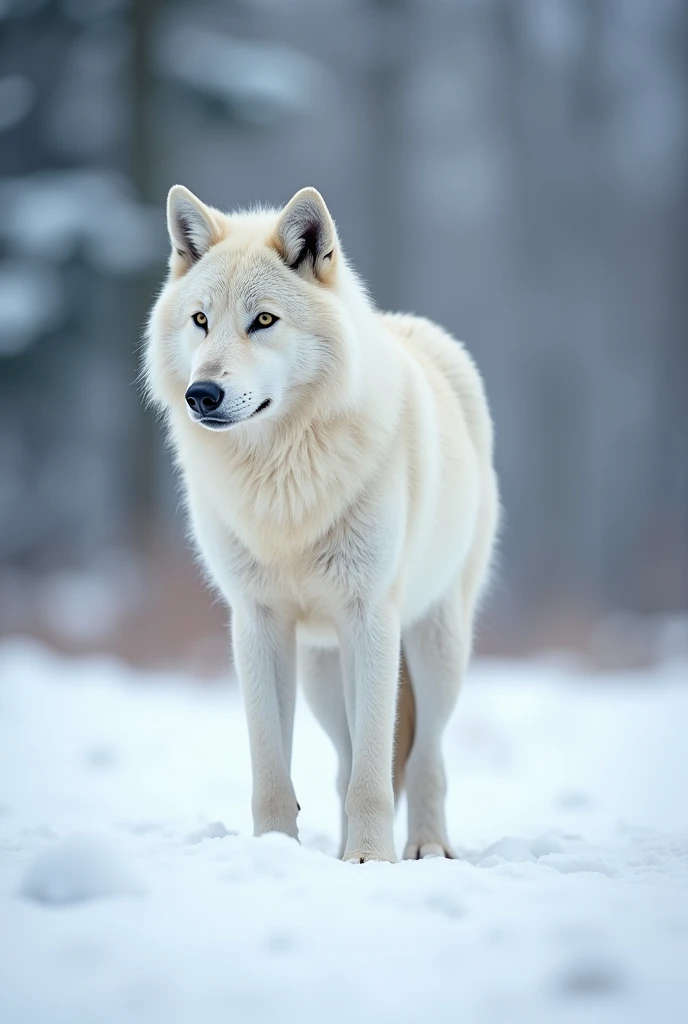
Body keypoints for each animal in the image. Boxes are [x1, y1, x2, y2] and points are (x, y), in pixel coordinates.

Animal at [146, 186, 499, 864]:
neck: (282, 480)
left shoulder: (371, 616)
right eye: (201, 320)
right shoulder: (257, 623)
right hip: (320, 674)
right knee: (345, 761)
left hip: (437, 647)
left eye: (263, 321)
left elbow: (374, 771)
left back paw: (426, 849)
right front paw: (276, 851)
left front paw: (370, 860)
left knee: (425, 758)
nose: (202, 394)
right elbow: (271, 769)